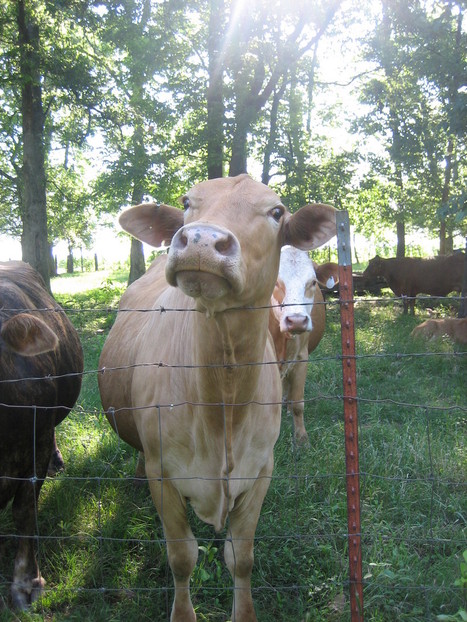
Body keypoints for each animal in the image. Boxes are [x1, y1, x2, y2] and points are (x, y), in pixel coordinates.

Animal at [270, 246, 340, 446]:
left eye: (313, 282)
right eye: (275, 281)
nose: (296, 320)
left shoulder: (302, 358)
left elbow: (298, 404)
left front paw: (301, 438)